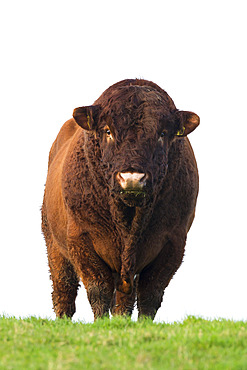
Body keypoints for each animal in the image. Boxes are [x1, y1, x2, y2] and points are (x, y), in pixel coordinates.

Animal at [41, 79, 200, 320]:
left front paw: (143, 323)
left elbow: (151, 293)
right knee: (64, 286)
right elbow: (98, 289)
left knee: (124, 299)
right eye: (108, 131)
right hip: (52, 241)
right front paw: (100, 322)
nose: (132, 178)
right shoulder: (81, 237)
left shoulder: (173, 241)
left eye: (163, 133)